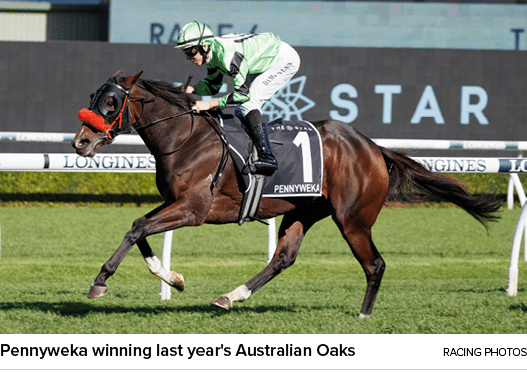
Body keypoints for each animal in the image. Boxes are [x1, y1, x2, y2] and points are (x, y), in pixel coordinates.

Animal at [72, 71, 502, 318]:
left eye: (110, 101)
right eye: (93, 96)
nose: (80, 142)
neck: (186, 138)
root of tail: (373, 148)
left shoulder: (193, 209)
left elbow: (138, 228)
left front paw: (100, 281)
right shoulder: (176, 203)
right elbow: (139, 228)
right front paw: (172, 278)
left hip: (353, 219)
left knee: (375, 264)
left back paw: (363, 315)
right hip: (303, 210)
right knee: (283, 257)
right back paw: (231, 296)